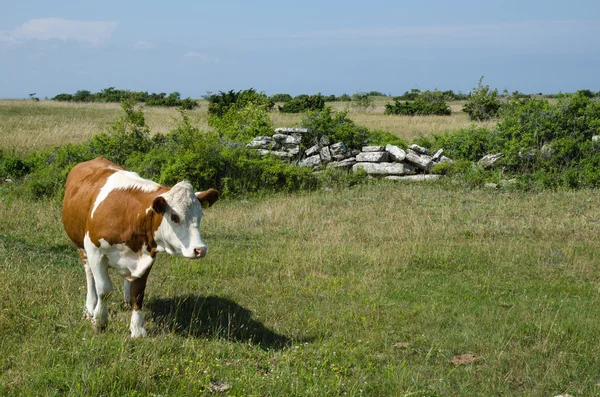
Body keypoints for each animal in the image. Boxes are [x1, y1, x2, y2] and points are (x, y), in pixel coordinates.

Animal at [61, 156, 219, 336]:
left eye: (200, 215)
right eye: (175, 217)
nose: (200, 249)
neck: (129, 215)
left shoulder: (147, 255)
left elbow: (138, 293)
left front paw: (137, 329)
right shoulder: (95, 251)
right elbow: (104, 290)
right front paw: (99, 321)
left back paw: (126, 301)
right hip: (81, 247)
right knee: (89, 274)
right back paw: (89, 308)